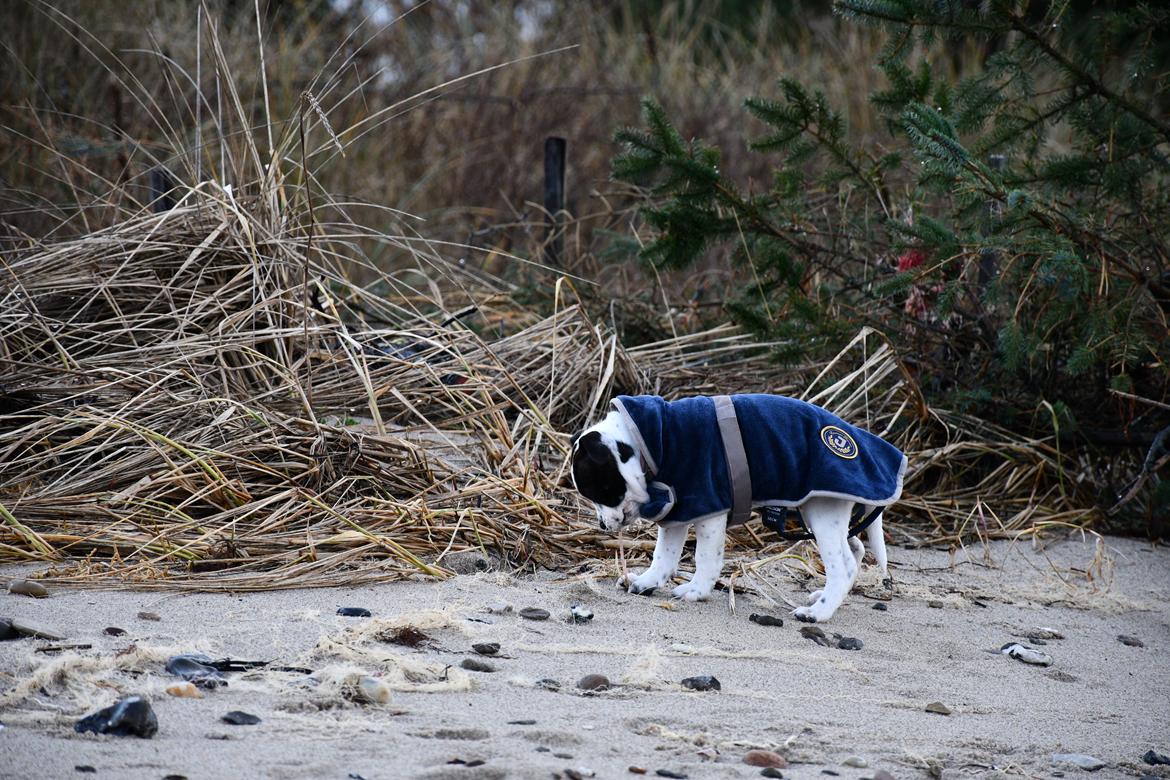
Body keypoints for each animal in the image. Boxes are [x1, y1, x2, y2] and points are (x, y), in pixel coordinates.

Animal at [570, 397, 907, 622]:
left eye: (602, 490)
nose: (602, 526)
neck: (648, 443)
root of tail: (857, 438)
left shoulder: (708, 509)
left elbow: (705, 558)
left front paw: (696, 591)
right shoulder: (679, 511)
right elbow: (663, 556)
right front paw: (648, 582)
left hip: (823, 514)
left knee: (844, 564)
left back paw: (818, 612)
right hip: (822, 513)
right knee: (857, 550)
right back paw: (824, 598)